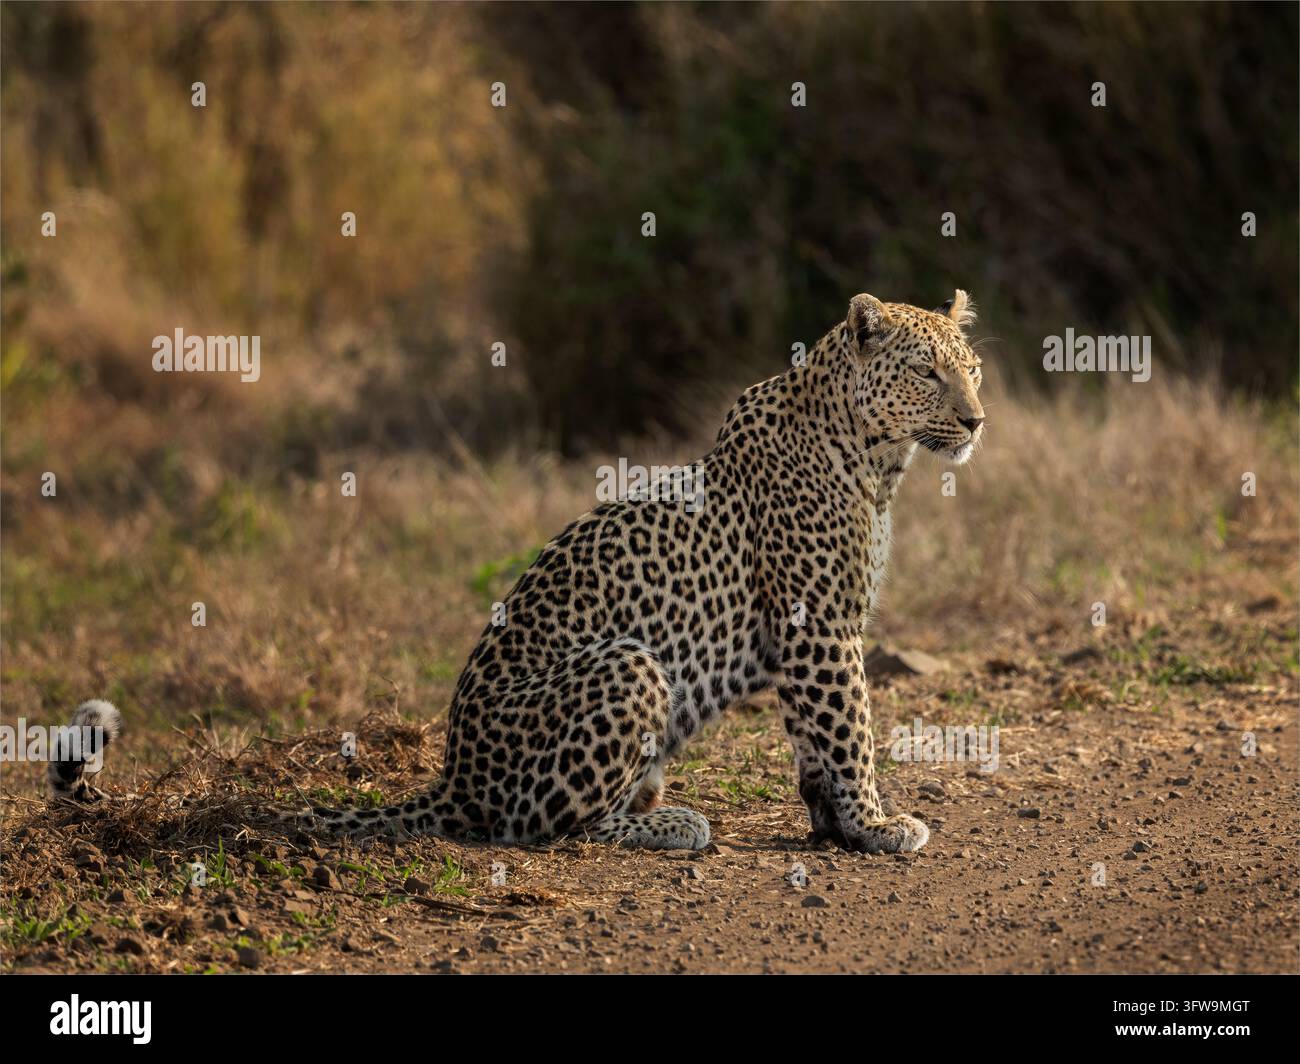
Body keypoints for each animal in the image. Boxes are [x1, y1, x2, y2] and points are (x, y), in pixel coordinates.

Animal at [58, 290, 985, 854]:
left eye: (970, 367)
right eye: (924, 370)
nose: (977, 419)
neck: (877, 458)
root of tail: (454, 777)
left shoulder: (810, 634)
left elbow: (815, 739)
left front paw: (836, 825)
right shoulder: (818, 623)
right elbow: (848, 728)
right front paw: (877, 824)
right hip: (629, 665)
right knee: (551, 826)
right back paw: (670, 824)